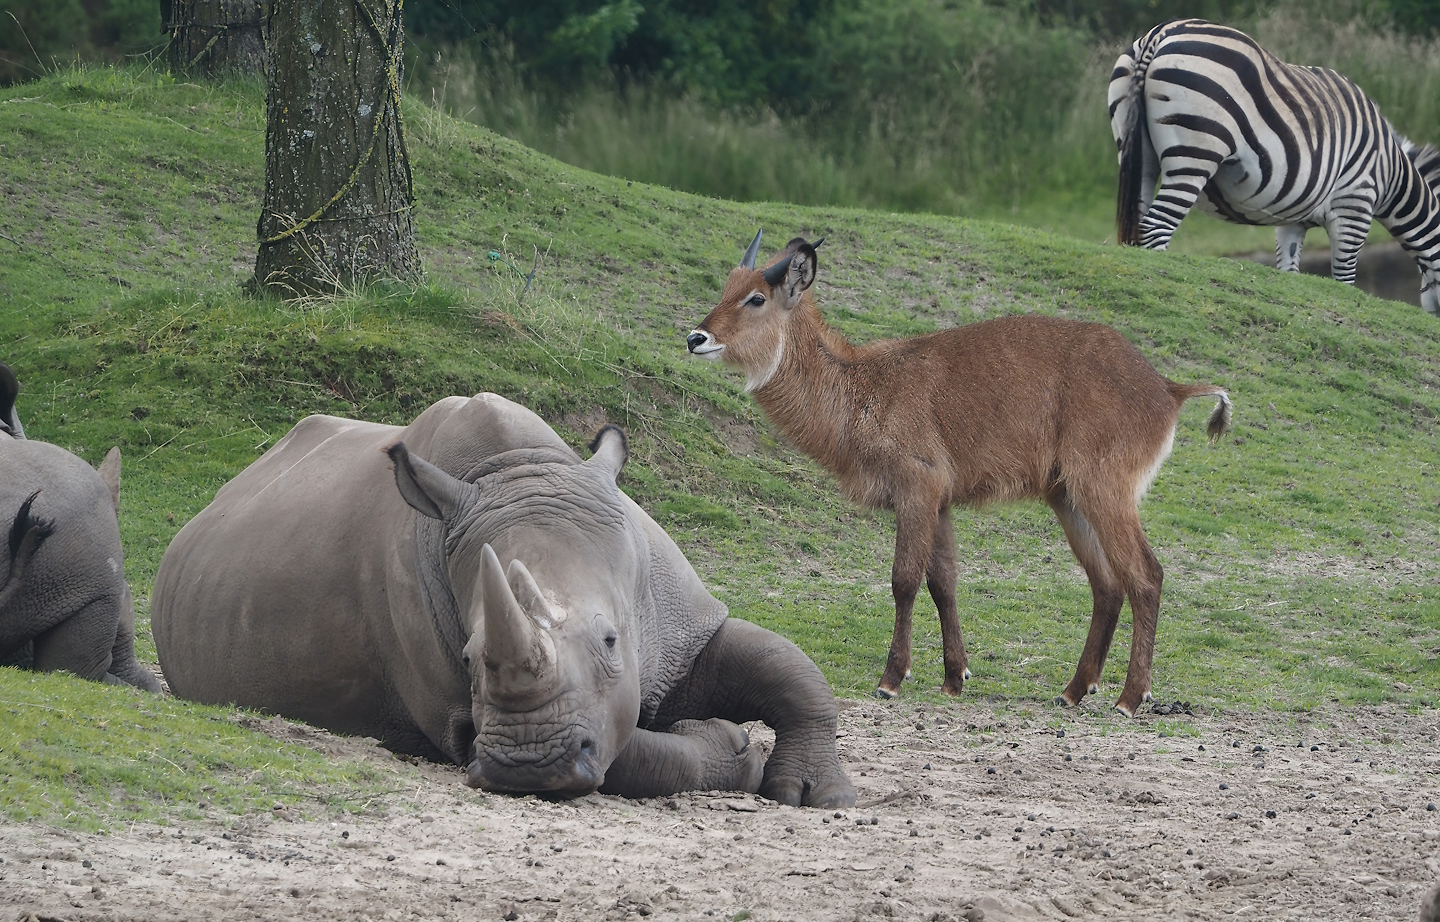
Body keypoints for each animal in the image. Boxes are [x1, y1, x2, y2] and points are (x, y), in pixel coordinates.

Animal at [152, 394, 855, 807]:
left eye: (611, 641)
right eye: (469, 658)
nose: (527, 766)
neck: (522, 470)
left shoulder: (680, 622)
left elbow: (781, 665)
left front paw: (814, 795)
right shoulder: (453, 713)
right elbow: (632, 756)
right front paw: (732, 750)